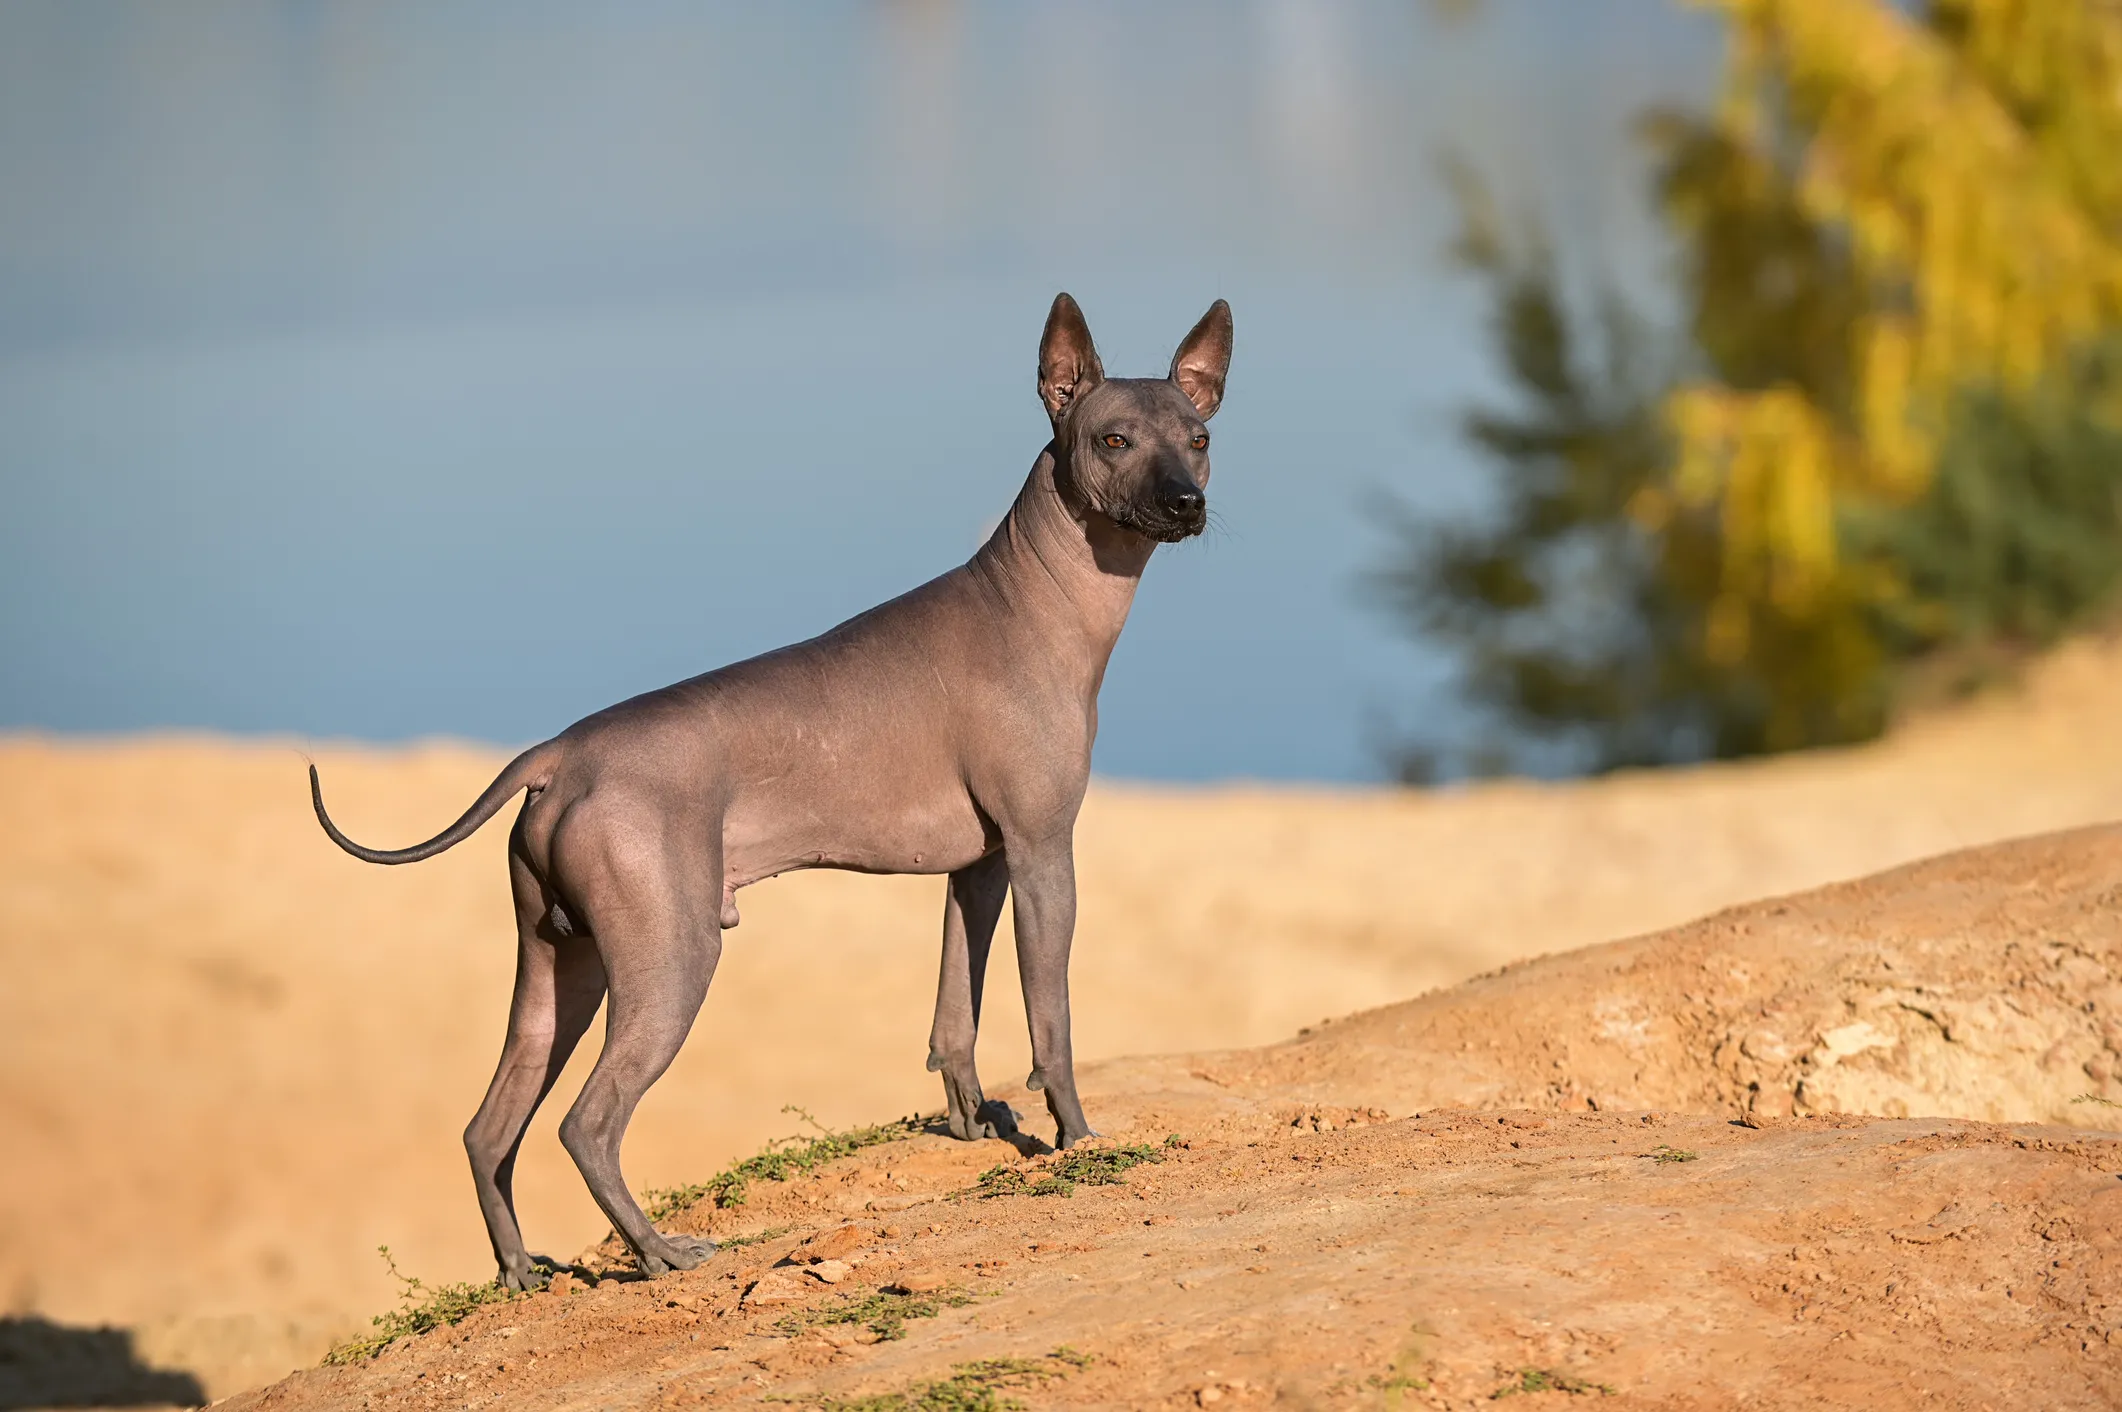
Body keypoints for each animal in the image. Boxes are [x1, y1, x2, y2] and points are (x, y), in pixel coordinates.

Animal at [309, 290, 1239, 1282]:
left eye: (1198, 438)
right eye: (1113, 440)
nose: (1186, 502)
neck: (1034, 602)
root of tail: (559, 752)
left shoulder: (980, 868)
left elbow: (956, 1010)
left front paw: (970, 1120)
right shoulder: (1042, 854)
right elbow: (1051, 1021)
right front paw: (1074, 1135)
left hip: (560, 969)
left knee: (490, 1129)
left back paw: (522, 1273)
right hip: (671, 958)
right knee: (585, 1124)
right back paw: (658, 1252)